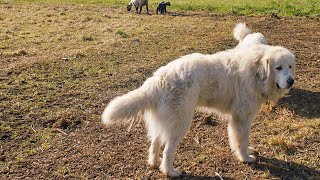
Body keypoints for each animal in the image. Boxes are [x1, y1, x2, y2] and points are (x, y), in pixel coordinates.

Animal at [102, 22, 296, 177]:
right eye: (278, 68)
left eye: (290, 67)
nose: (291, 81)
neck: (257, 71)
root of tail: (159, 78)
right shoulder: (241, 117)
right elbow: (241, 140)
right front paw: (245, 158)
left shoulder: (241, 118)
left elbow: (241, 139)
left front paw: (246, 152)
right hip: (180, 122)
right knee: (168, 150)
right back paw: (170, 172)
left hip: (166, 121)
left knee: (155, 142)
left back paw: (153, 162)